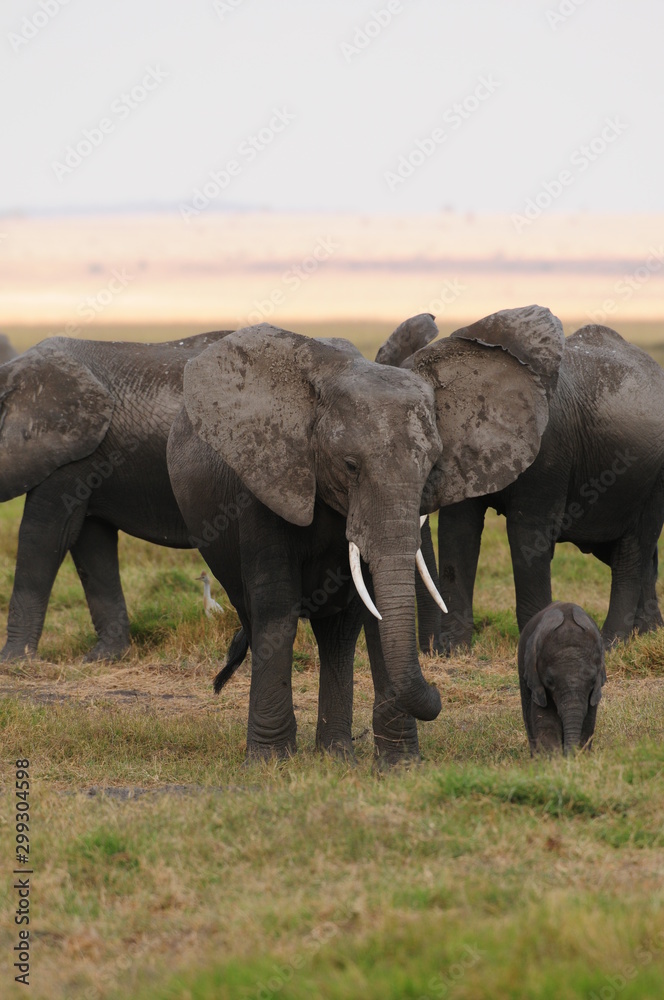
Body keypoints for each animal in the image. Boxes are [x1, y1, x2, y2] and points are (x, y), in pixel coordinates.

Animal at [167, 305, 565, 763]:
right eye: (350, 465)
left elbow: (377, 611)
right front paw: (269, 764)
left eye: (431, 465)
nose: (439, 690)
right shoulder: (266, 479)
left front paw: (401, 765)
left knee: (339, 635)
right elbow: (277, 607)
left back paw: (336, 755)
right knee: (261, 614)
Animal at [414, 325, 664, 652]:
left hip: (652, 479)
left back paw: (613, 643)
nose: (432, 649)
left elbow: (527, 535)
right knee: (640, 555)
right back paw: (647, 634)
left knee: (632, 550)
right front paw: (455, 650)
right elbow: (458, 529)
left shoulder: (548, 450)